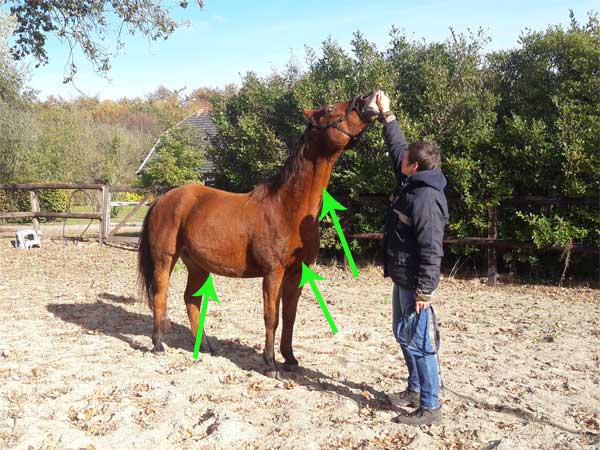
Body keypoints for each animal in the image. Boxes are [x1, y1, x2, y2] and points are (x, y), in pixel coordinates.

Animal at [138, 92, 378, 376]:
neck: (287, 208)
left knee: (191, 299)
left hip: (197, 265)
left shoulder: (297, 274)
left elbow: (290, 317)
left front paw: (291, 359)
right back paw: (157, 344)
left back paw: (206, 346)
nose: (367, 99)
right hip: (165, 259)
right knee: (160, 295)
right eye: (330, 108)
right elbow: (271, 317)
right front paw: (270, 363)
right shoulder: (273, 274)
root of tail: (163, 199)